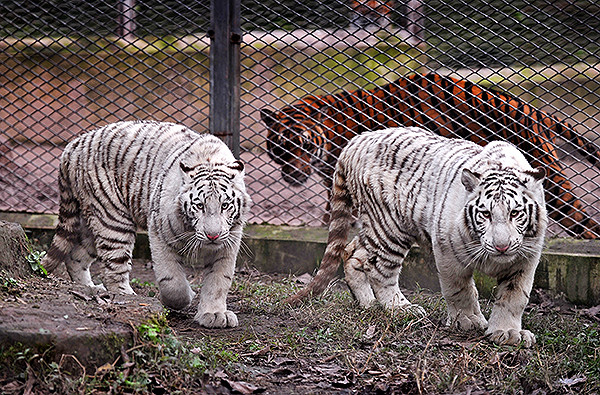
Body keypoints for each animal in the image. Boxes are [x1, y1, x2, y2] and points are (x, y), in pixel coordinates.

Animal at [42, 121, 251, 332]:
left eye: (225, 205)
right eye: (199, 206)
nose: (212, 236)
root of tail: (72, 146)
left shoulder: (228, 244)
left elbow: (219, 280)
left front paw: (214, 314)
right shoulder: (160, 233)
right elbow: (171, 280)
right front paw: (184, 299)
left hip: (92, 223)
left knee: (75, 257)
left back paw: (90, 289)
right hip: (112, 219)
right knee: (113, 268)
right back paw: (127, 296)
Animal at [262, 72, 600, 238]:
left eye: (304, 146)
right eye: (281, 148)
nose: (293, 175)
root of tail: (532, 109)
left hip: (549, 184)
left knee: (583, 224)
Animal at [288, 126, 548, 346]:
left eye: (515, 213)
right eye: (485, 214)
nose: (501, 247)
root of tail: (358, 140)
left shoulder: (526, 258)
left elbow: (514, 296)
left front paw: (507, 332)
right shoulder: (447, 251)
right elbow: (459, 290)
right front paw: (468, 321)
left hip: (374, 226)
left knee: (353, 253)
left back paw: (367, 302)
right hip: (390, 228)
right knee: (379, 269)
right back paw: (400, 308)